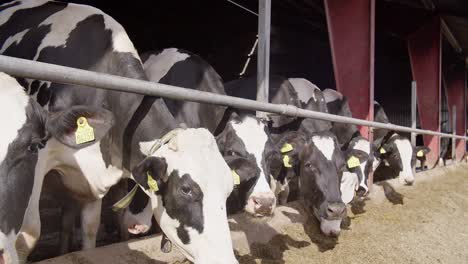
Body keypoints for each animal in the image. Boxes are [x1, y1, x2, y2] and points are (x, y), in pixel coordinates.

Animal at [0, 1, 238, 262]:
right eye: (185, 190)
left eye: (229, 189)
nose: (225, 259)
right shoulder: (38, 155)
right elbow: (28, 234)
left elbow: (90, 229)